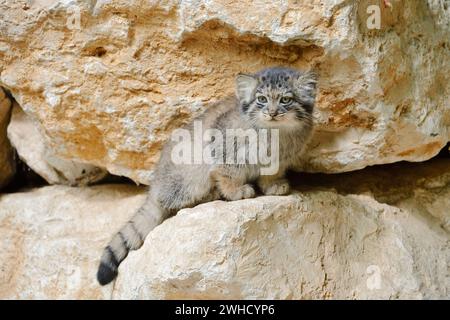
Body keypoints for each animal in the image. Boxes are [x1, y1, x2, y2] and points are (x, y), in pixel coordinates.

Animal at [98, 66, 316, 284]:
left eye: (285, 100)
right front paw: (235, 191)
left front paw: (273, 185)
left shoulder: (279, 160)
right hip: (190, 174)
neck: (276, 133)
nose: (272, 113)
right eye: (261, 99)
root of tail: (155, 187)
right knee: (174, 202)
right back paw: (212, 194)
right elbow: (228, 171)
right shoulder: (225, 144)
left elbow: (270, 174)